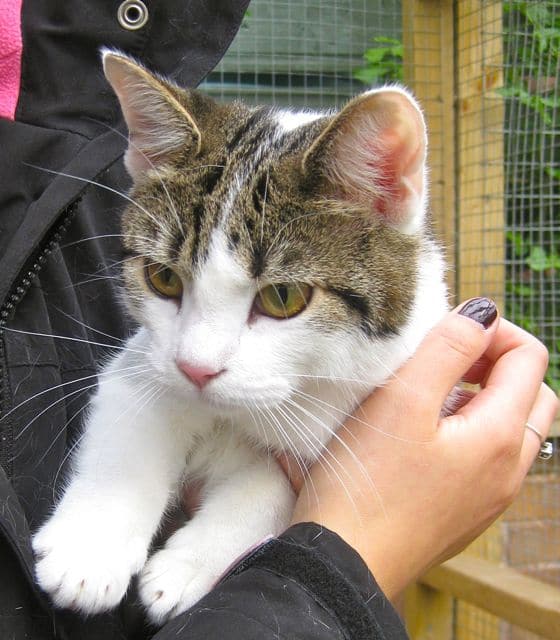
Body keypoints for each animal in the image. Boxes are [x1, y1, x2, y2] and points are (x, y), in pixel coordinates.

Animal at [32, 50, 448, 624]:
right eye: (163, 278)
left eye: (283, 297)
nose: (197, 369)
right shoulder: (145, 358)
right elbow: (134, 413)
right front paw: (88, 551)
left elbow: (277, 484)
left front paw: (186, 566)